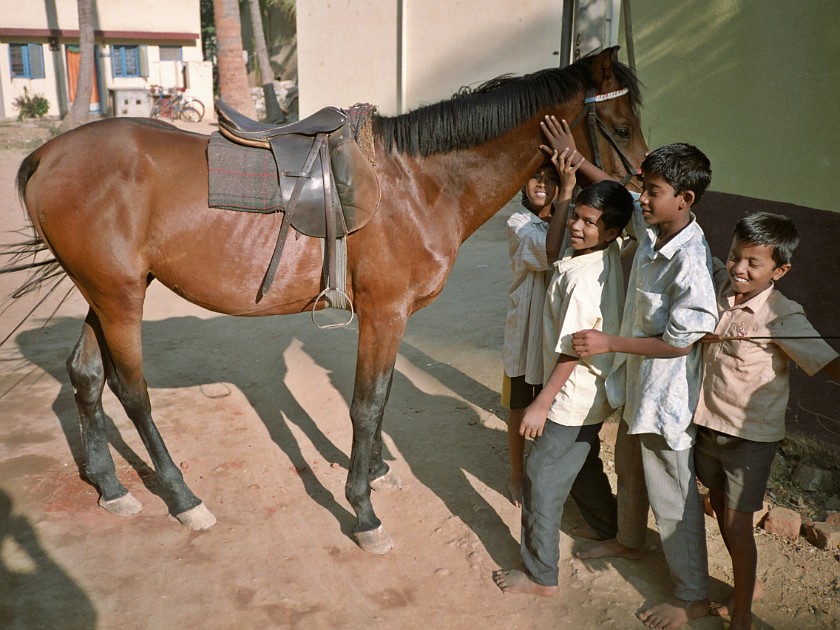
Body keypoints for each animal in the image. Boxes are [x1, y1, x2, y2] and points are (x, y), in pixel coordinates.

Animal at [9, 48, 648, 552]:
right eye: (619, 124)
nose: (637, 190)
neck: (419, 183)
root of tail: (49, 155)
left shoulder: (390, 318)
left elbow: (379, 401)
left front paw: (378, 470)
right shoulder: (385, 312)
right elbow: (368, 404)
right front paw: (363, 511)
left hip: (109, 293)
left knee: (86, 375)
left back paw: (111, 486)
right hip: (119, 299)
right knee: (132, 391)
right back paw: (184, 497)